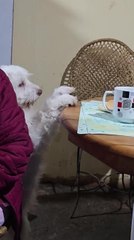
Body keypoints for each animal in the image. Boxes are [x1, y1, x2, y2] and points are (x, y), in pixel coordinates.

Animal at [0, 64, 77, 239]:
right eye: (21, 84)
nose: (40, 91)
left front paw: (62, 91)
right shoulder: (32, 137)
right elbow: (47, 110)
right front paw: (62, 99)